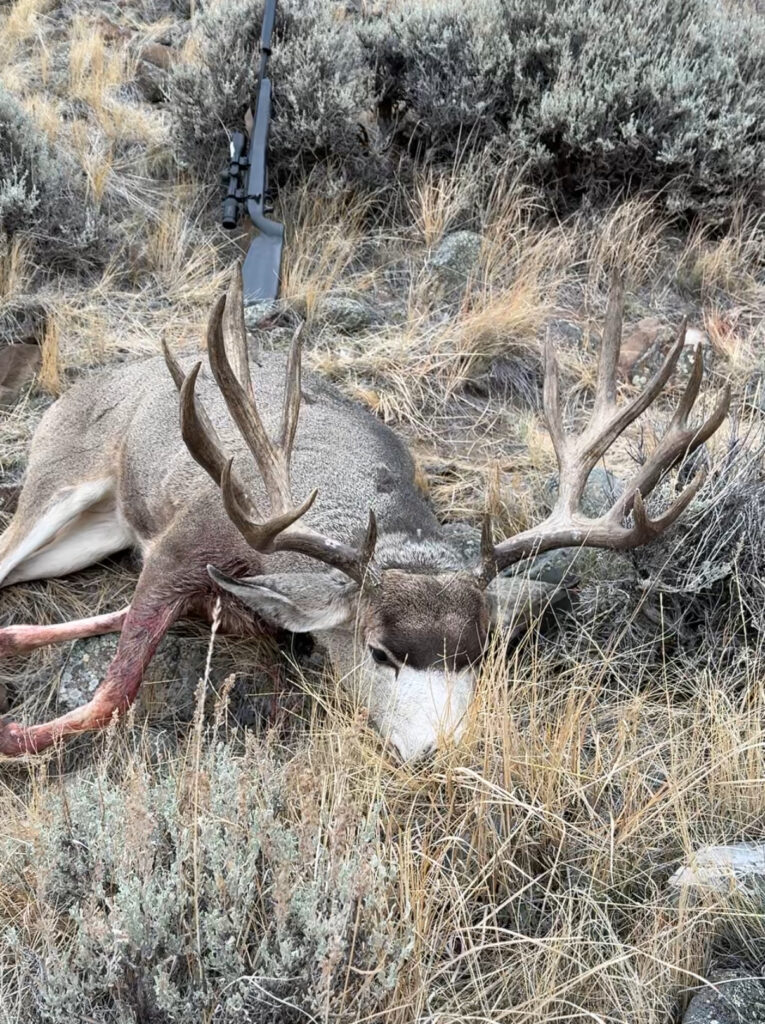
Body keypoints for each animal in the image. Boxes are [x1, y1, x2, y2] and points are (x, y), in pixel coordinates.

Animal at [0, 267, 729, 761]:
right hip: (57, 484)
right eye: (380, 653)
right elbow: (112, 693)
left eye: (477, 656)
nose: (440, 752)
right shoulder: (186, 541)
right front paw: (15, 734)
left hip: (92, 536)